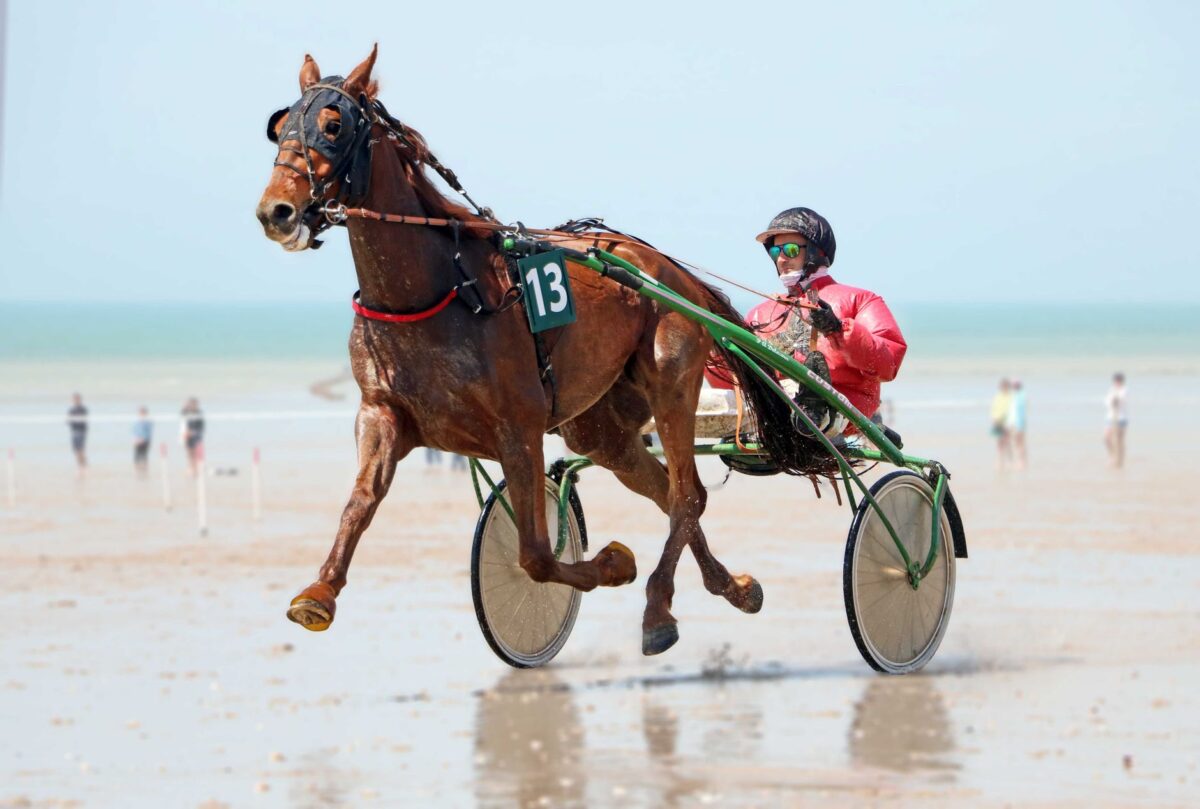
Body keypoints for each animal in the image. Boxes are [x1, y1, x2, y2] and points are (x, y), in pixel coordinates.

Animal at [254, 46, 820, 656]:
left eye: (333, 125)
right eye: (279, 127)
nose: (276, 212)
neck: (439, 290)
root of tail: (671, 273)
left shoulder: (517, 428)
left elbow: (538, 556)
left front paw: (615, 563)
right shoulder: (381, 413)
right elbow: (359, 502)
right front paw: (319, 591)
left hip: (670, 380)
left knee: (687, 494)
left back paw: (657, 608)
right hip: (599, 426)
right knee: (670, 496)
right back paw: (729, 587)